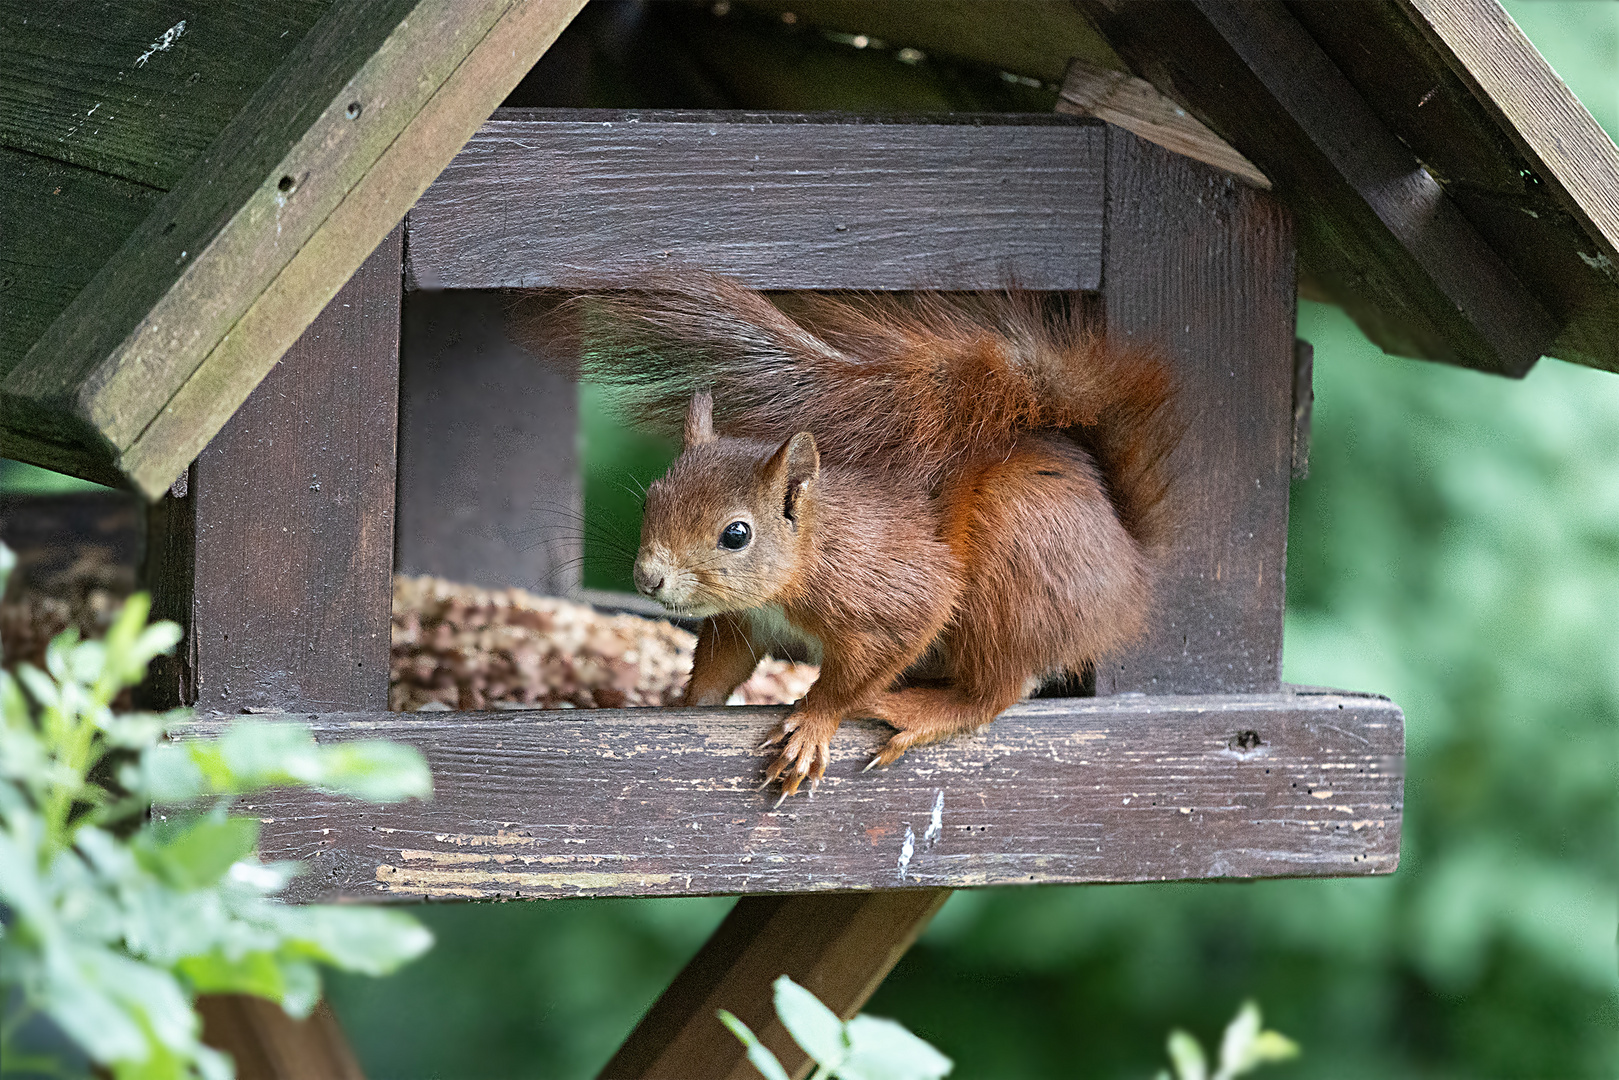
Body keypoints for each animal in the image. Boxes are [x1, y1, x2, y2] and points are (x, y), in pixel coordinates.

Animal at [556, 276, 1178, 803]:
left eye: (736, 534)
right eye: (651, 500)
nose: (648, 578)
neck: (810, 557)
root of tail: (1129, 574)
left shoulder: (892, 596)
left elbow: (869, 662)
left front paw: (812, 724)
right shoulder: (745, 620)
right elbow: (719, 667)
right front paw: (684, 705)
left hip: (1014, 571)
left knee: (994, 691)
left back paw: (914, 709)